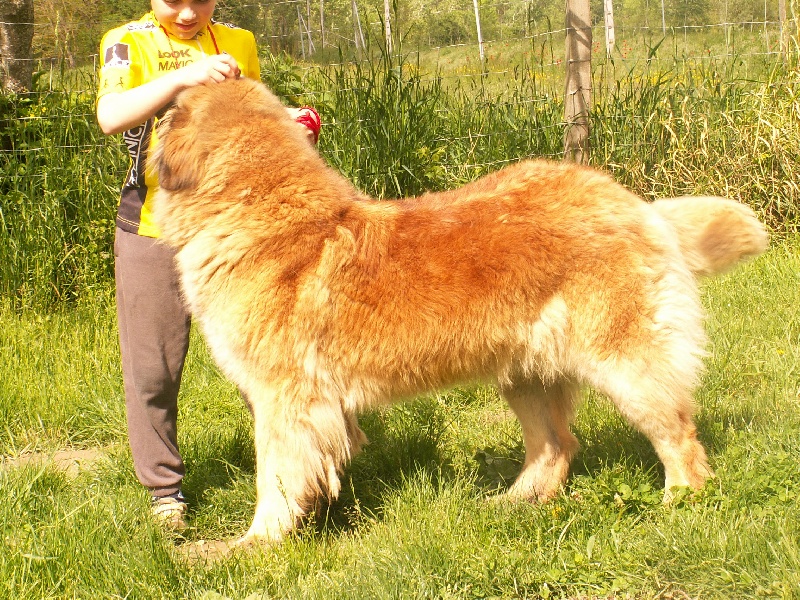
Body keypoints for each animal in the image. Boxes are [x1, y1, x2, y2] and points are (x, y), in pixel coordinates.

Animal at [150, 78, 768, 544]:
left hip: (627, 365)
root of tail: (633, 204)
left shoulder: (284, 398)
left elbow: (274, 478)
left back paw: (677, 504)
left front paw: (253, 544)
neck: (255, 208)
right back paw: (510, 504)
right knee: (557, 445)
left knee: (678, 436)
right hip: (525, 373)